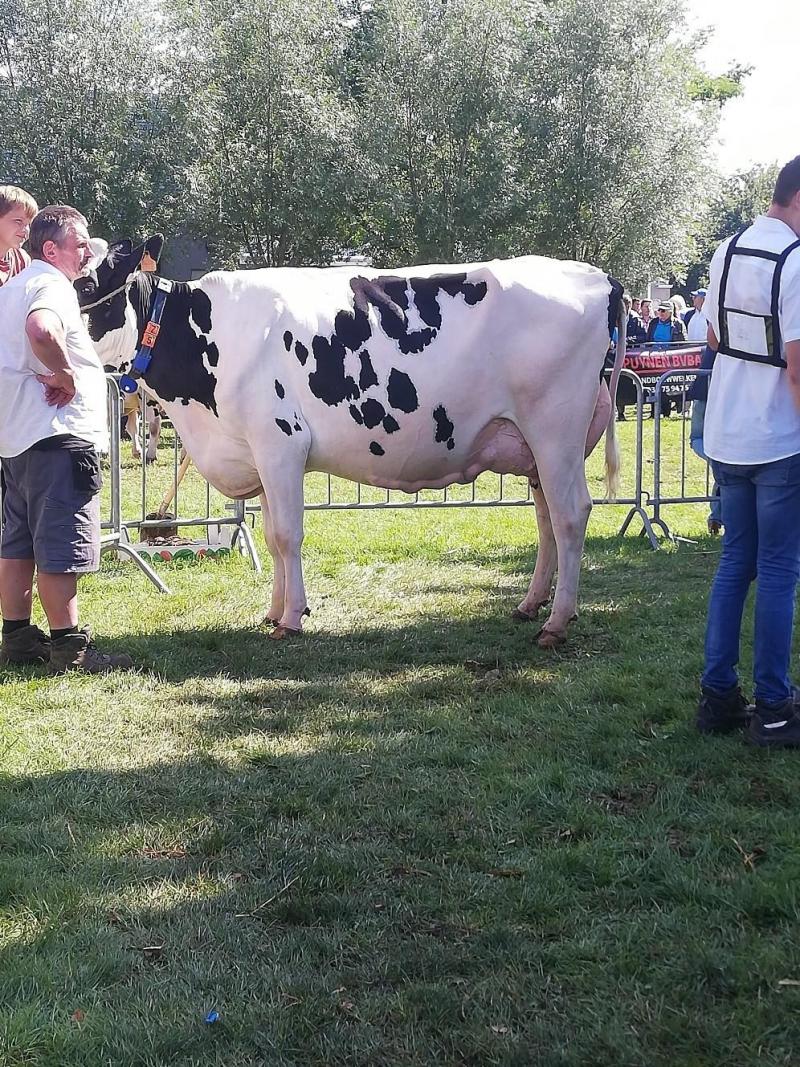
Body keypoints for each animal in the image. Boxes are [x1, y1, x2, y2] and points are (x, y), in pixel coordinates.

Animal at [76, 236, 627, 644]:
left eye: (86, 281)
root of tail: (599, 278)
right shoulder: (259, 455)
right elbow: (272, 536)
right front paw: (273, 612)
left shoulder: (280, 443)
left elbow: (286, 536)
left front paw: (292, 618)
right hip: (534, 448)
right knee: (547, 519)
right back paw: (530, 604)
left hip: (555, 430)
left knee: (571, 514)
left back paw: (557, 622)